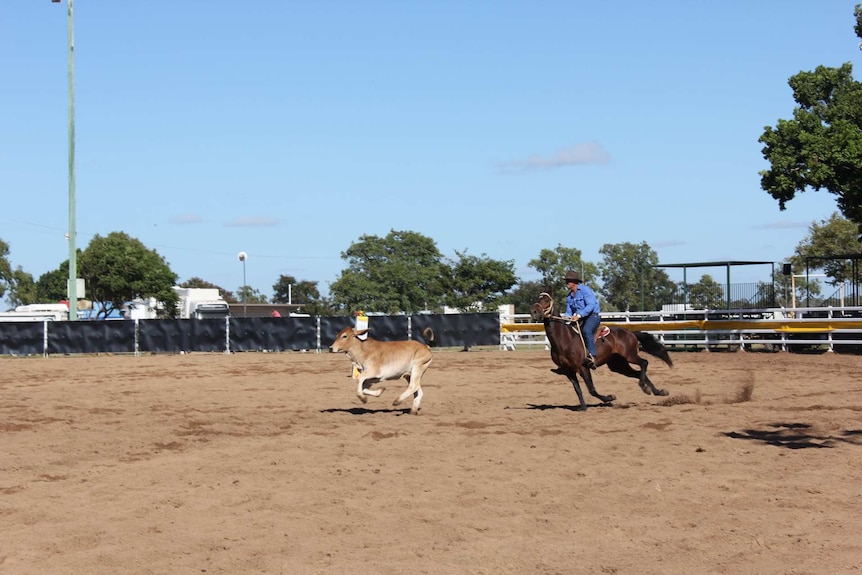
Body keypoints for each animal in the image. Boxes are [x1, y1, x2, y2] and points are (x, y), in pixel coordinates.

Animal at [532, 292, 676, 410]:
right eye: (537, 298)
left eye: (546, 300)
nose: (534, 311)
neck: (565, 339)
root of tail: (630, 332)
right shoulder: (569, 371)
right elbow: (578, 389)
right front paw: (583, 407)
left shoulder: (583, 367)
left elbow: (591, 389)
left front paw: (609, 398)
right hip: (618, 364)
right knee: (638, 372)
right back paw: (658, 391)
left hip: (630, 355)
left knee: (644, 363)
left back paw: (645, 388)